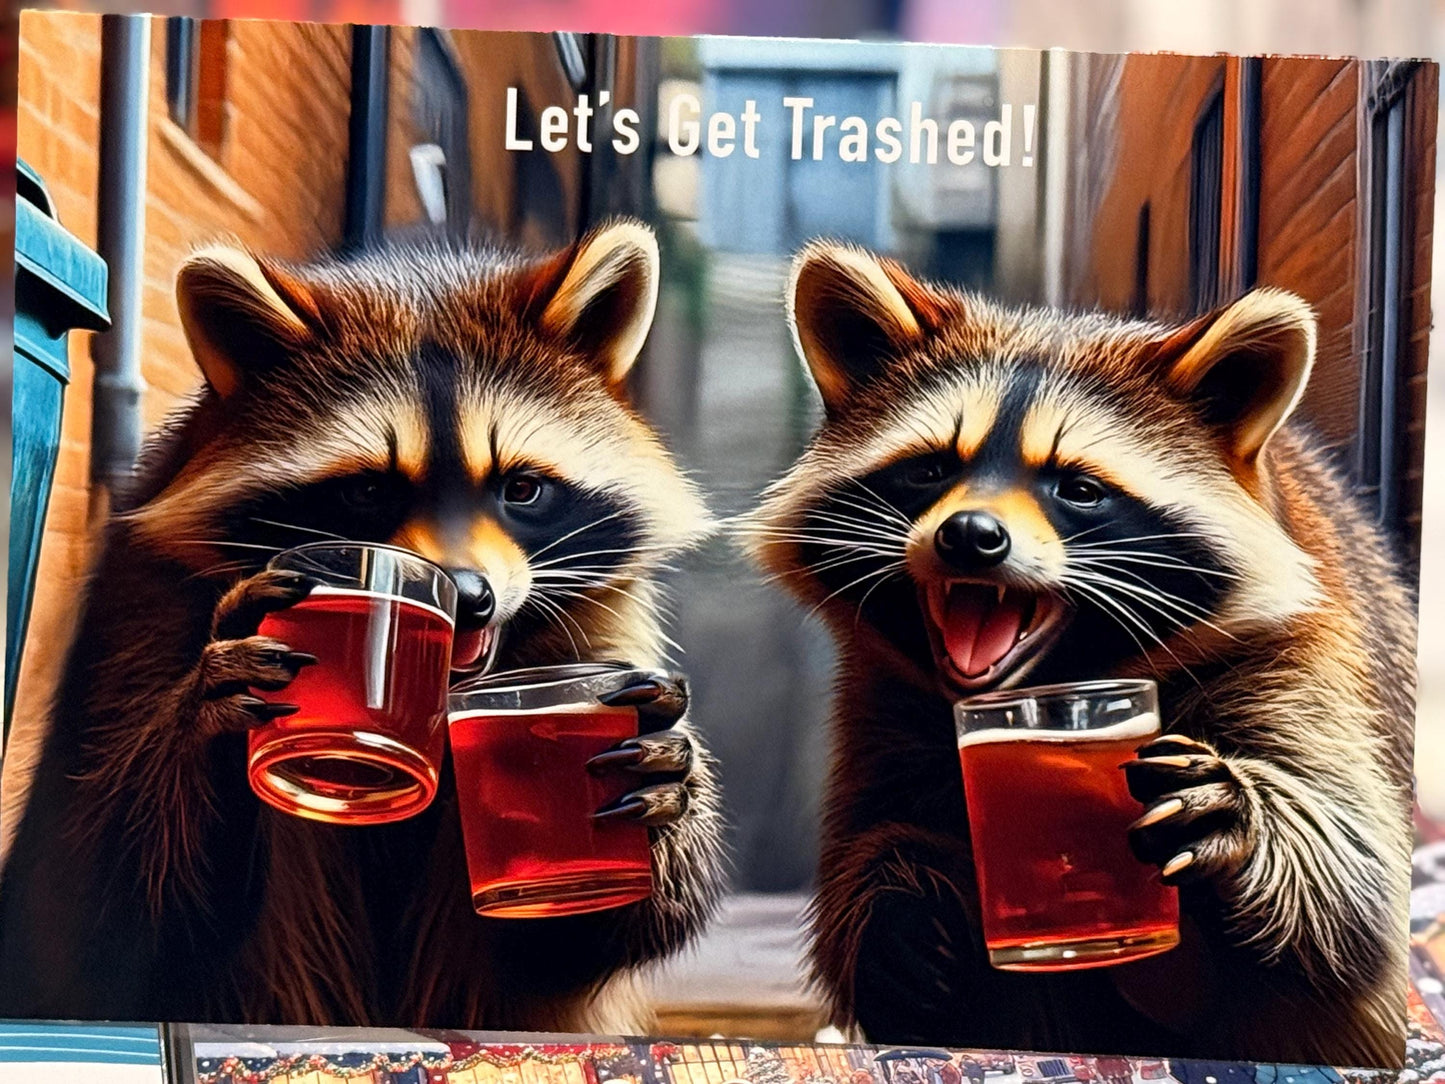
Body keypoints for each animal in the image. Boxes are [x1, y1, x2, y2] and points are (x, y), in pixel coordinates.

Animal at [0, 220, 725, 1030]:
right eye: (368, 491)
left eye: (522, 489)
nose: (468, 596)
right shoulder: (139, 620)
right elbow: (105, 909)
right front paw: (211, 721)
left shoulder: (602, 625)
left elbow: (564, 939)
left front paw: (650, 783)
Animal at [746, 242, 1416, 1065]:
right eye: (932, 468)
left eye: (1078, 489)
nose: (969, 535)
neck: (1062, 679)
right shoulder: (880, 699)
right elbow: (869, 841)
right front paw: (895, 904)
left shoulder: (1302, 664)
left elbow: (1356, 885)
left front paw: (1248, 821)